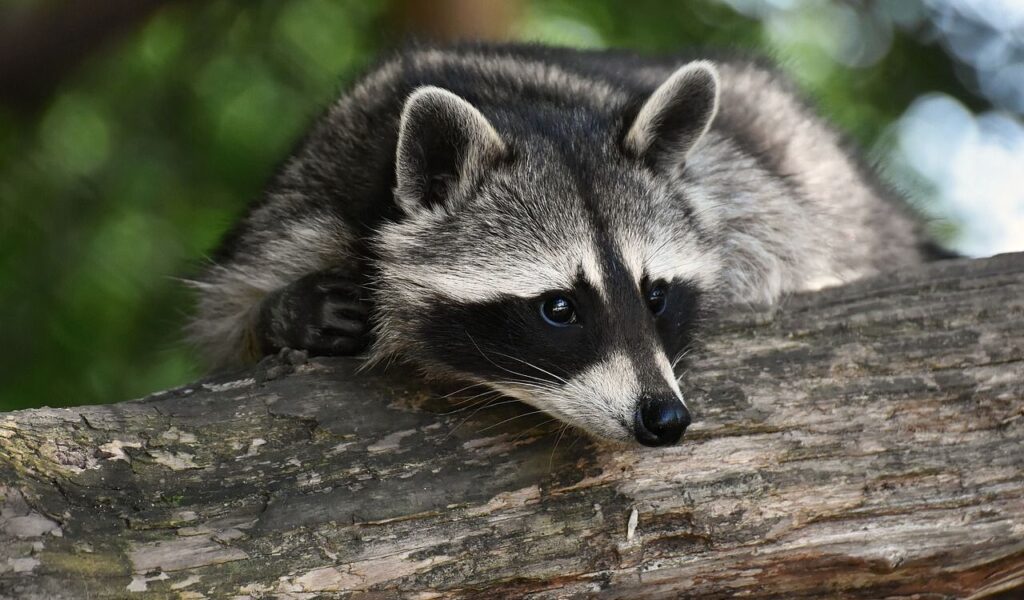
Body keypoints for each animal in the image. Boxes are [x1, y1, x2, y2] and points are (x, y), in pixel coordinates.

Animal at [189, 43, 936, 447]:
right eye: (558, 308)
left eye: (656, 295)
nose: (665, 418)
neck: (519, 107)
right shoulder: (306, 196)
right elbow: (228, 315)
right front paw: (287, 312)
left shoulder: (744, 189)